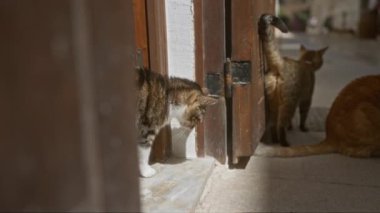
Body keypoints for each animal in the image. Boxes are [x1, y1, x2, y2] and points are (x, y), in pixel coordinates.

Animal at [260, 13, 328, 146]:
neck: (306, 63)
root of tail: (281, 63)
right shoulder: (306, 98)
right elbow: (303, 115)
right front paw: (303, 128)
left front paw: (291, 127)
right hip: (289, 102)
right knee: (281, 124)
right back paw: (284, 142)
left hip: (273, 102)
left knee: (272, 124)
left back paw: (275, 140)